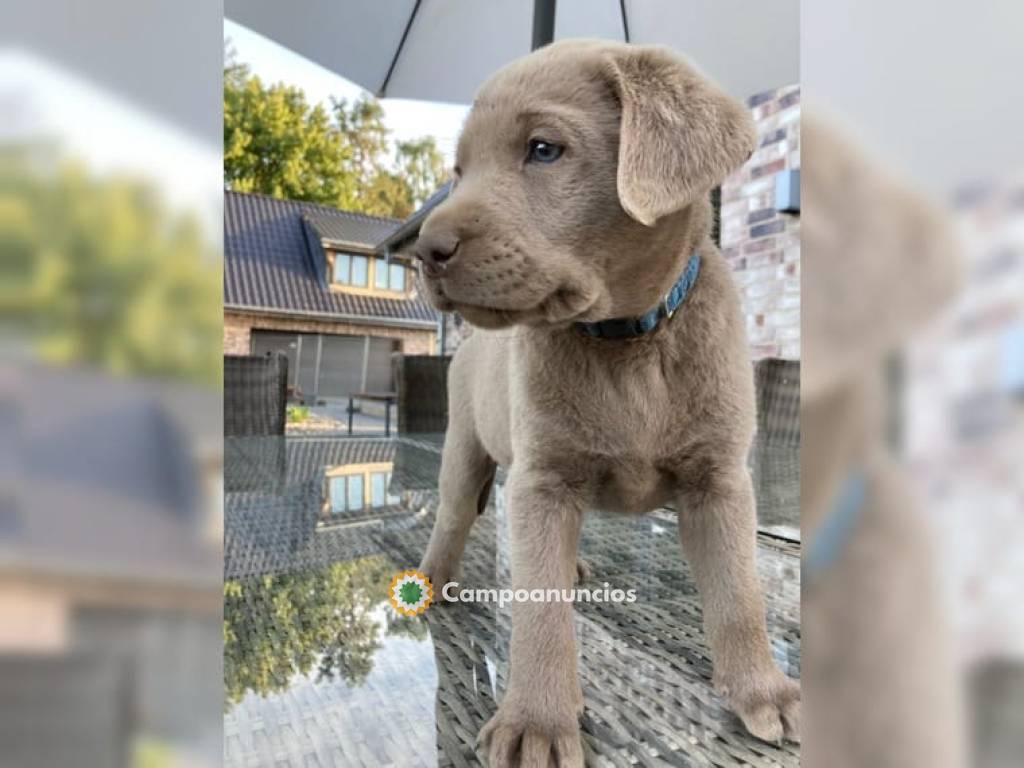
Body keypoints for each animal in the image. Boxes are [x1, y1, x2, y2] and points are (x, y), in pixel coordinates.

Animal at [411, 41, 794, 768]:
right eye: (459, 171)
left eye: (543, 149)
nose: (425, 249)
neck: (628, 340)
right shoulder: (544, 481)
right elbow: (539, 610)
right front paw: (536, 720)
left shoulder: (719, 480)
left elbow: (739, 592)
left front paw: (763, 691)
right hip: (465, 451)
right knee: (452, 517)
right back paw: (434, 578)